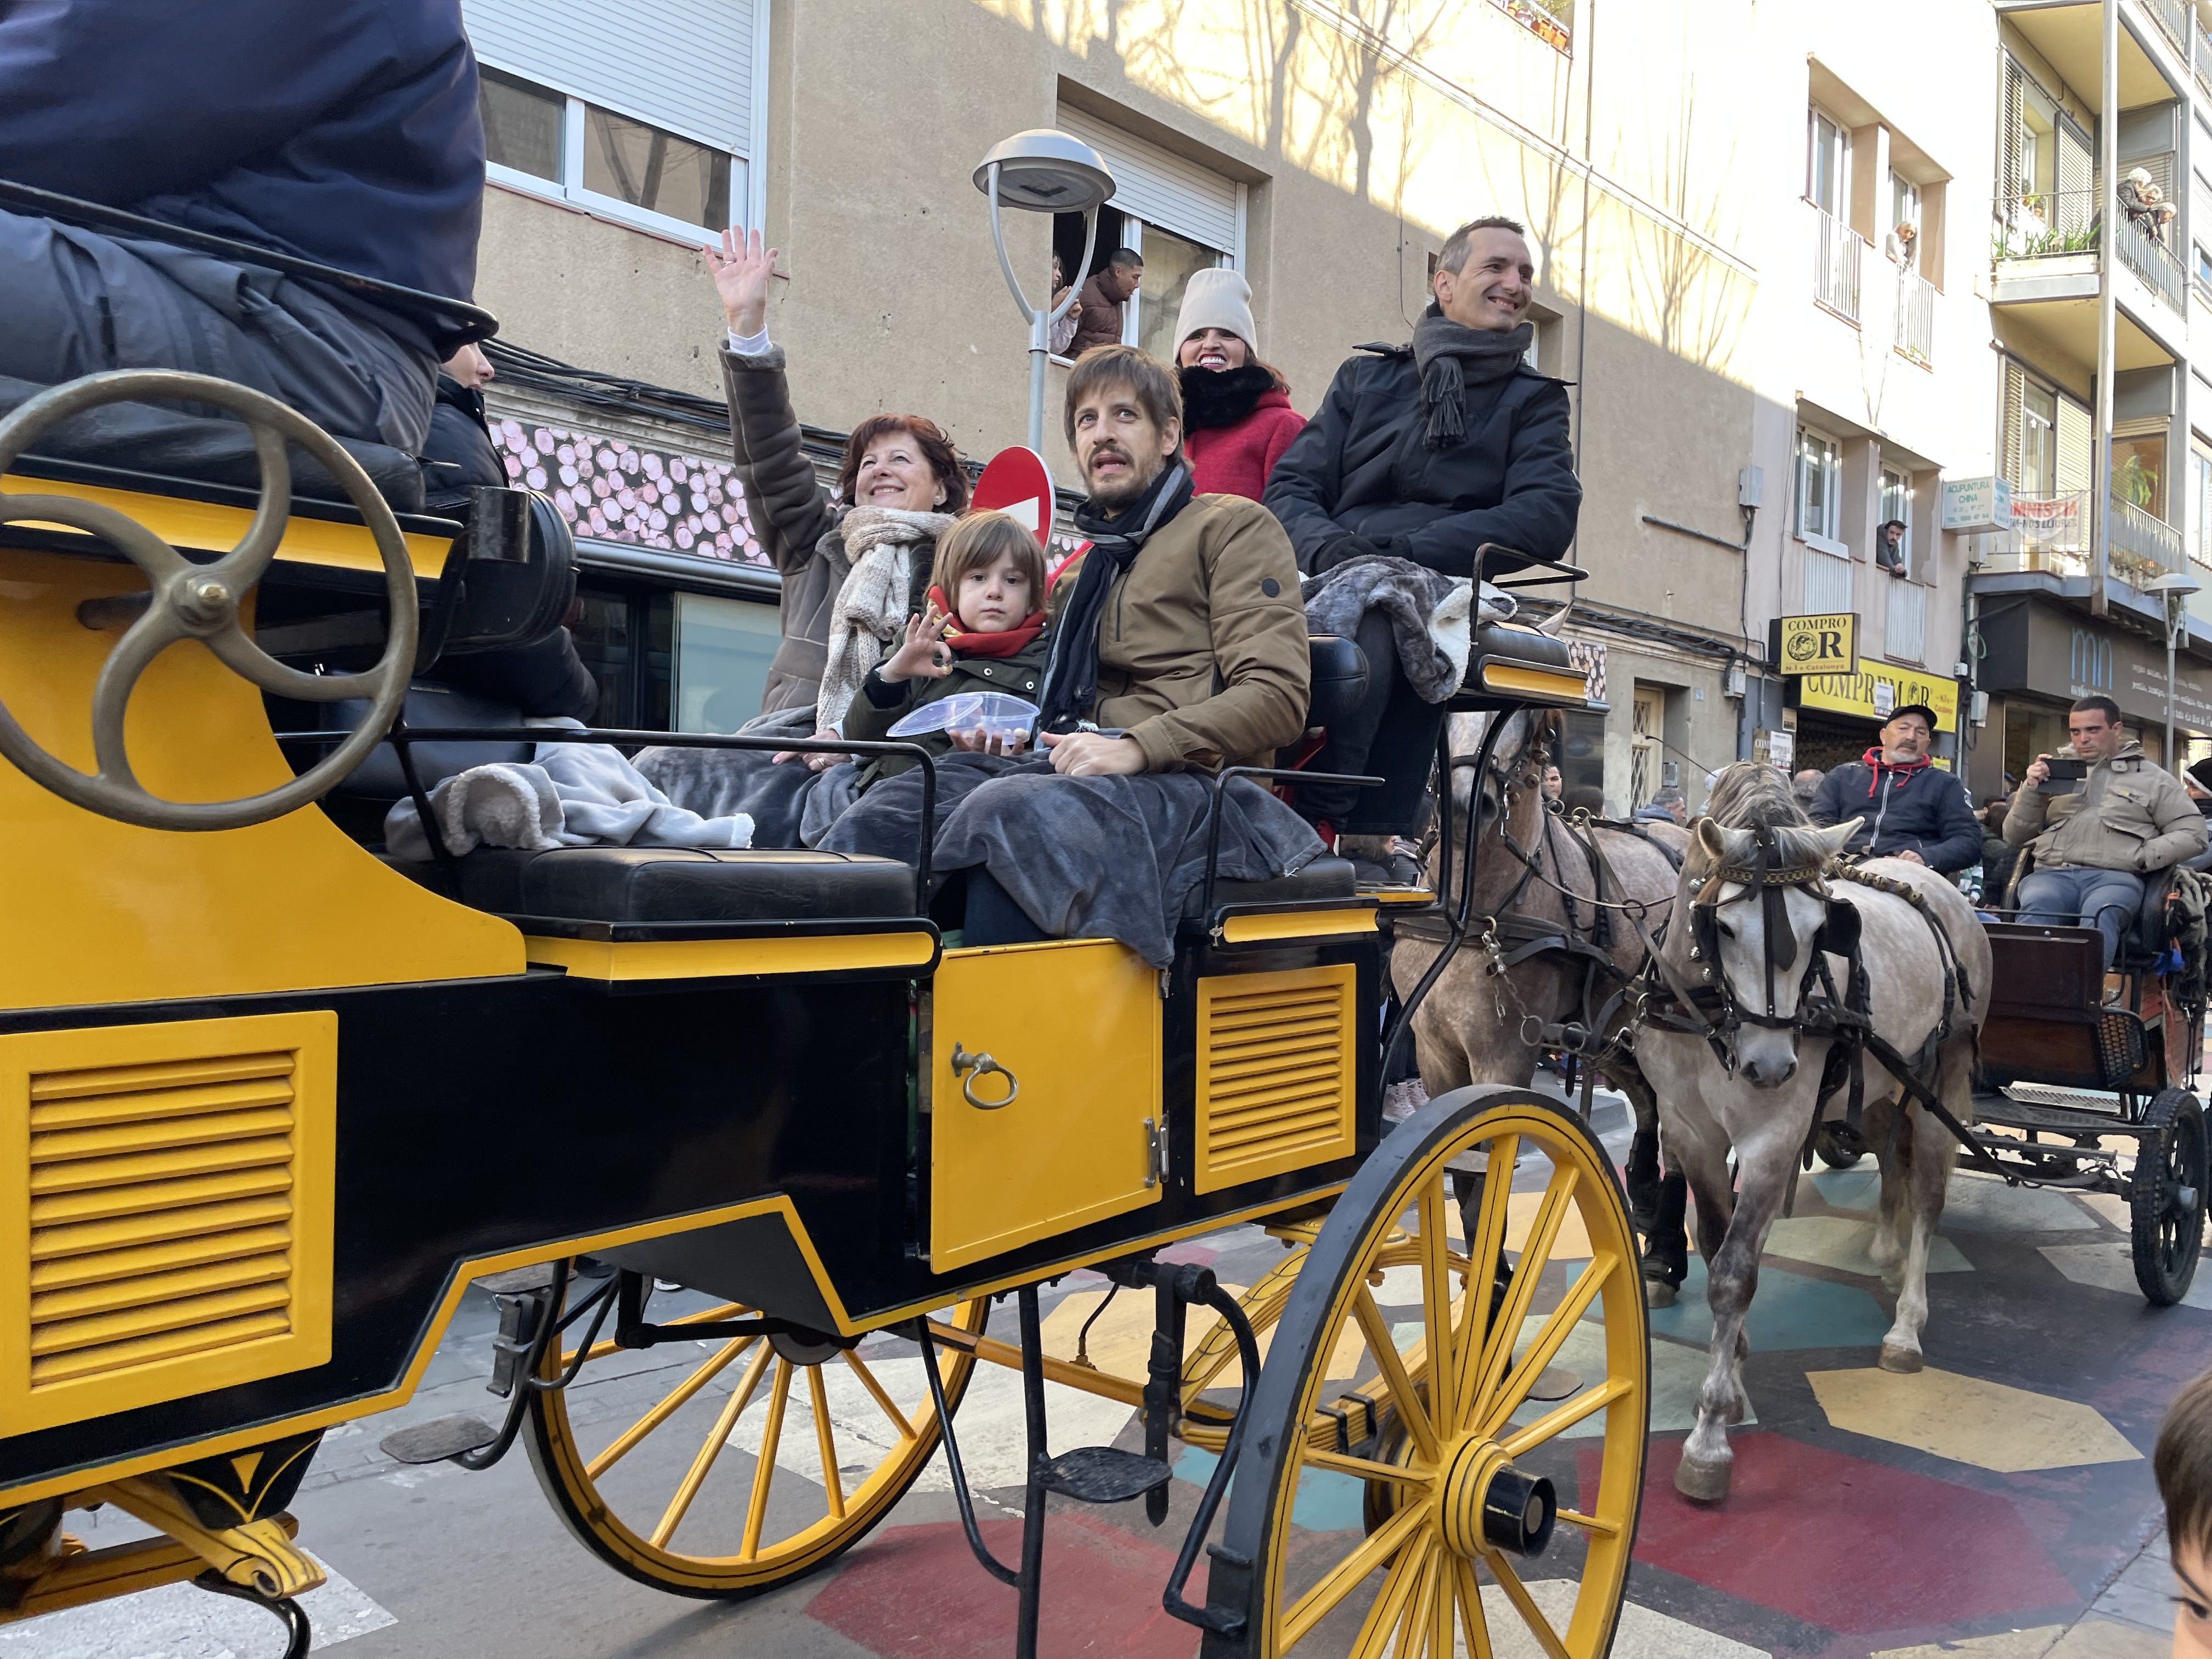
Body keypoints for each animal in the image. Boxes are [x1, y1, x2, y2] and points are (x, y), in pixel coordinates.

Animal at [1645, 765, 1990, 1504]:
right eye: (1723, 925)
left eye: (1818, 930)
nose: (1772, 1066)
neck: (1713, 1017)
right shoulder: (1690, 1132)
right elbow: (1713, 1242)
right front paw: (1734, 1370)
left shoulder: (1773, 1136)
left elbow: (1734, 1273)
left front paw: (1709, 1437)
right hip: (1887, 1083)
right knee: (1891, 1156)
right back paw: (1885, 1246)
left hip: (1943, 1081)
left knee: (1928, 1195)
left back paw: (1906, 1328)